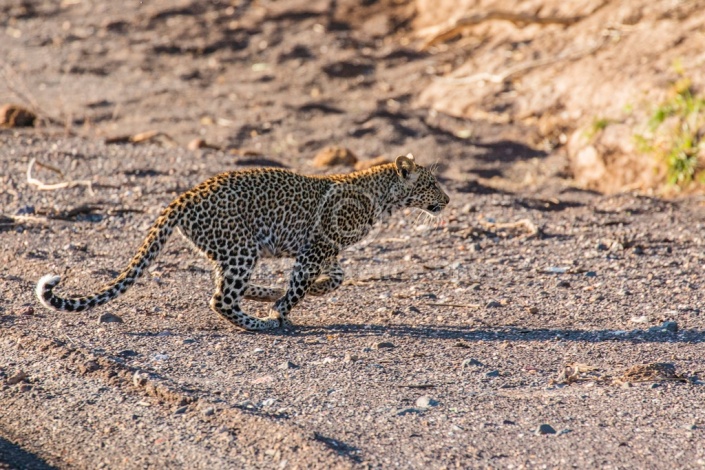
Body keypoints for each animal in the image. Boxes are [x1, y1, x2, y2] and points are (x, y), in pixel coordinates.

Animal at [35, 155, 448, 330]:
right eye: (431, 184)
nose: (447, 200)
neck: (384, 197)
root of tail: (183, 197)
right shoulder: (315, 249)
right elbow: (299, 287)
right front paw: (279, 311)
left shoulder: (324, 250)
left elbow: (334, 279)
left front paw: (279, 295)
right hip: (241, 249)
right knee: (221, 299)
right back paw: (257, 322)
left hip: (229, 249)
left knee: (223, 288)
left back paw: (255, 298)